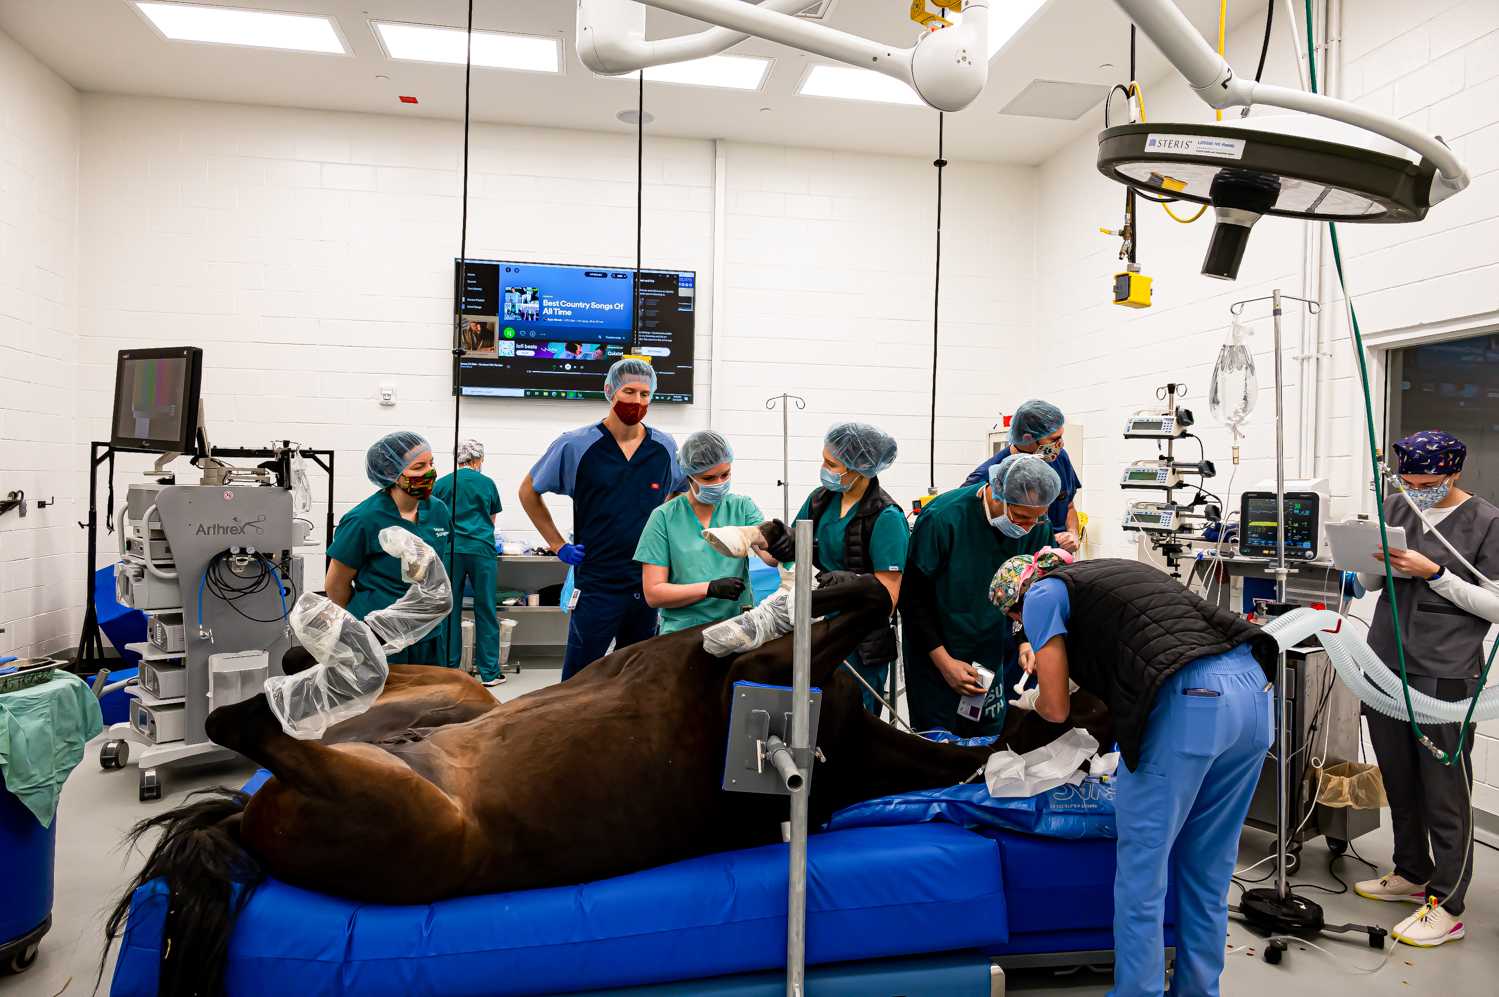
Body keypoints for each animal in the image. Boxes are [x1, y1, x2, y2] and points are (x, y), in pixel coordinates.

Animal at [108, 533, 1115, 995]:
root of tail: (250, 825)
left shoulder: (739, 679)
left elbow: (867, 597)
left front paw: (769, 589)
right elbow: (865, 594)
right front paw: (777, 569)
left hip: (405, 809)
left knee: (246, 716)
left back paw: (340, 637)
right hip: (444, 709)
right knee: (317, 683)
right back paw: (374, 608)